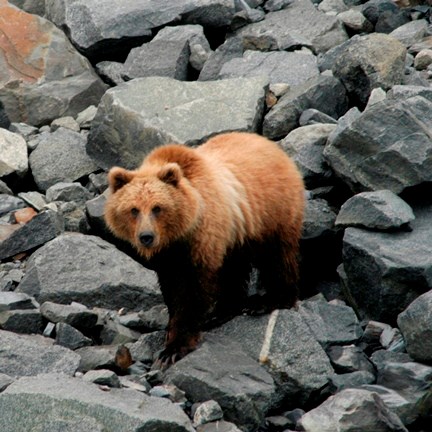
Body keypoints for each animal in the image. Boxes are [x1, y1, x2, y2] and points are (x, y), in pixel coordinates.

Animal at [104, 131, 306, 364]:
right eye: (133, 209)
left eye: (157, 208)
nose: (146, 237)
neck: (180, 233)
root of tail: (273, 147)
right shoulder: (168, 256)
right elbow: (171, 288)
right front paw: (170, 328)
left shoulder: (202, 239)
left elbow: (192, 292)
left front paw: (175, 347)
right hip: (236, 234)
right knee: (234, 269)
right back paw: (223, 312)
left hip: (271, 213)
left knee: (276, 258)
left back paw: (267, 301)